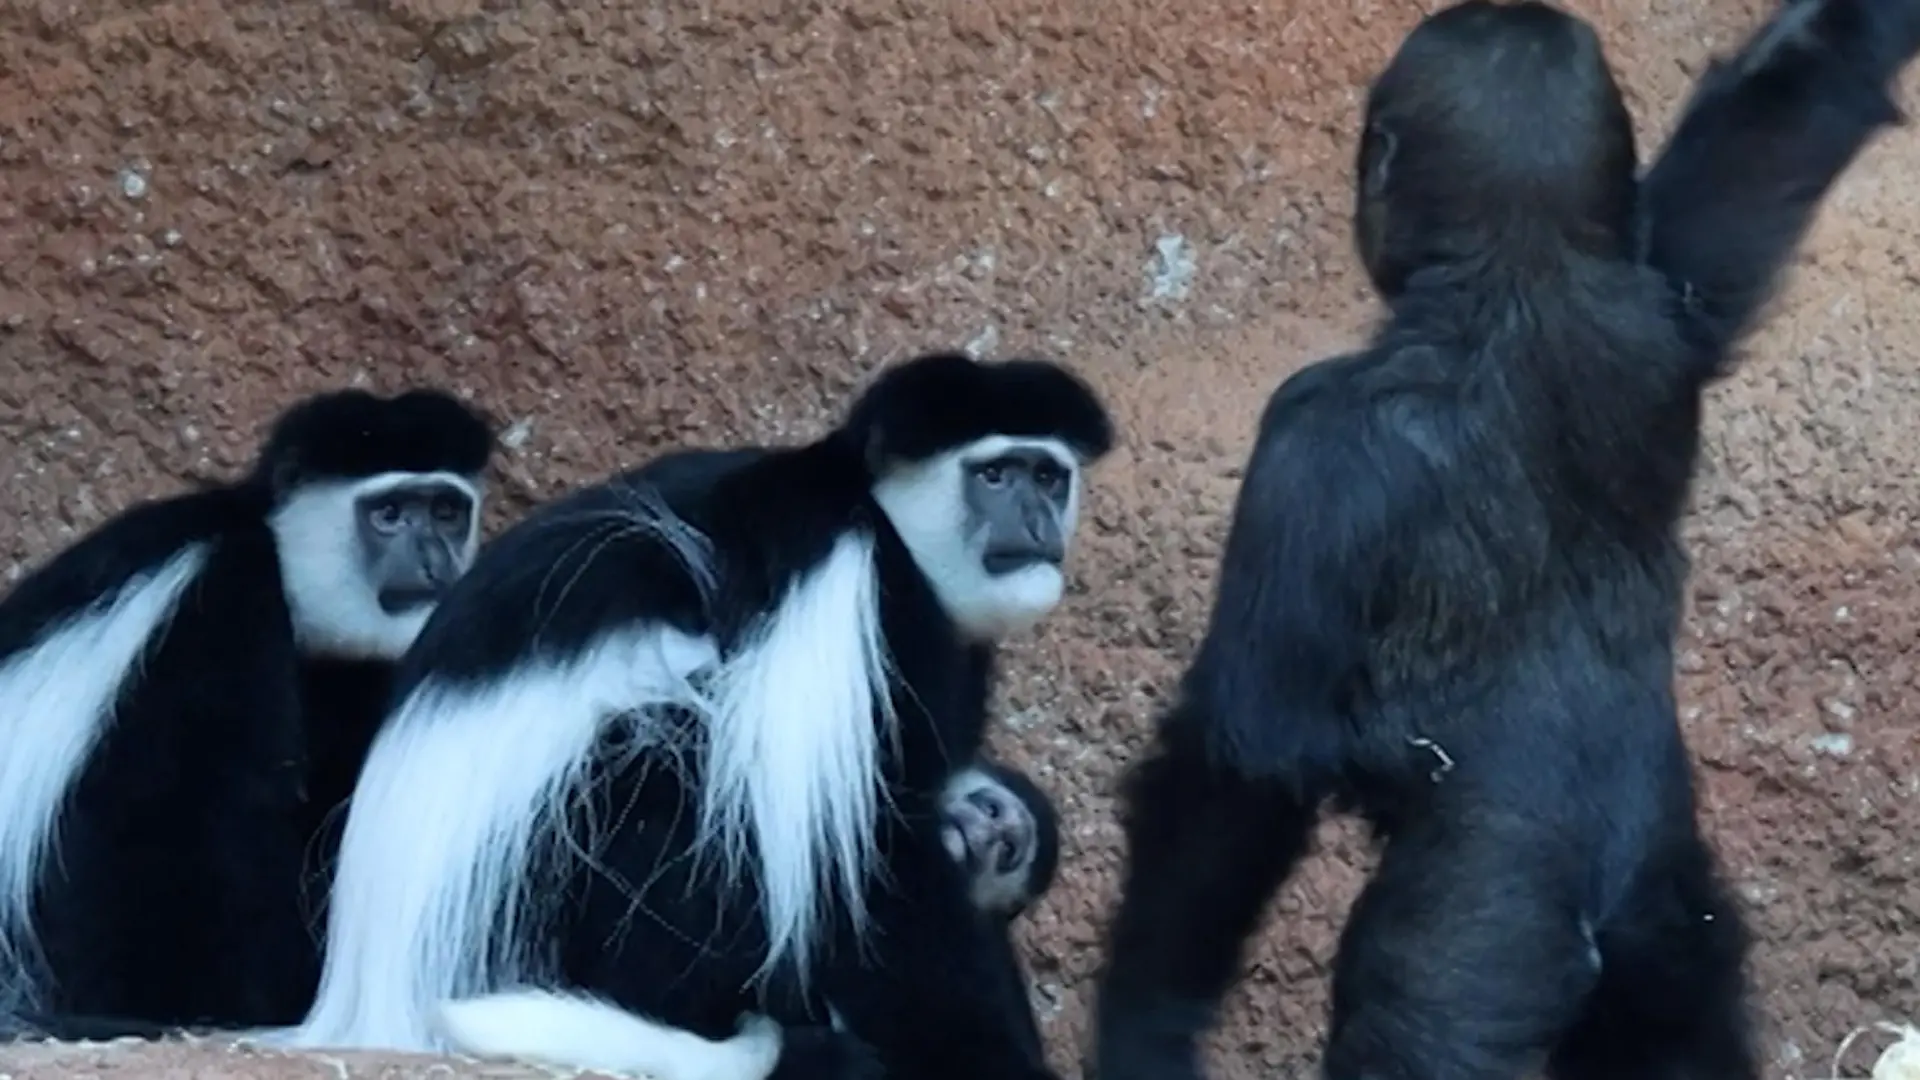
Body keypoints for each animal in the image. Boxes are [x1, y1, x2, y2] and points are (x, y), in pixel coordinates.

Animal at [261, 351, 1111, 1080]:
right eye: (994, 474)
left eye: (1048, 475)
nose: (1038, 523)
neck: (876, 511)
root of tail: (372, 994)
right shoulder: (849, 585)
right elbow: (873, 863)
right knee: (674, 761)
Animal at [1086, 2, 1920, 1079]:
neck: (1520, 273)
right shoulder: (1656, 293)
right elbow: (1792, 99)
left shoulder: (1312, 440)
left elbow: (1245, 762)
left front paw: (1145, 1022)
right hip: (1667, 922)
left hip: (1476, 935)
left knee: (1435, 1005)